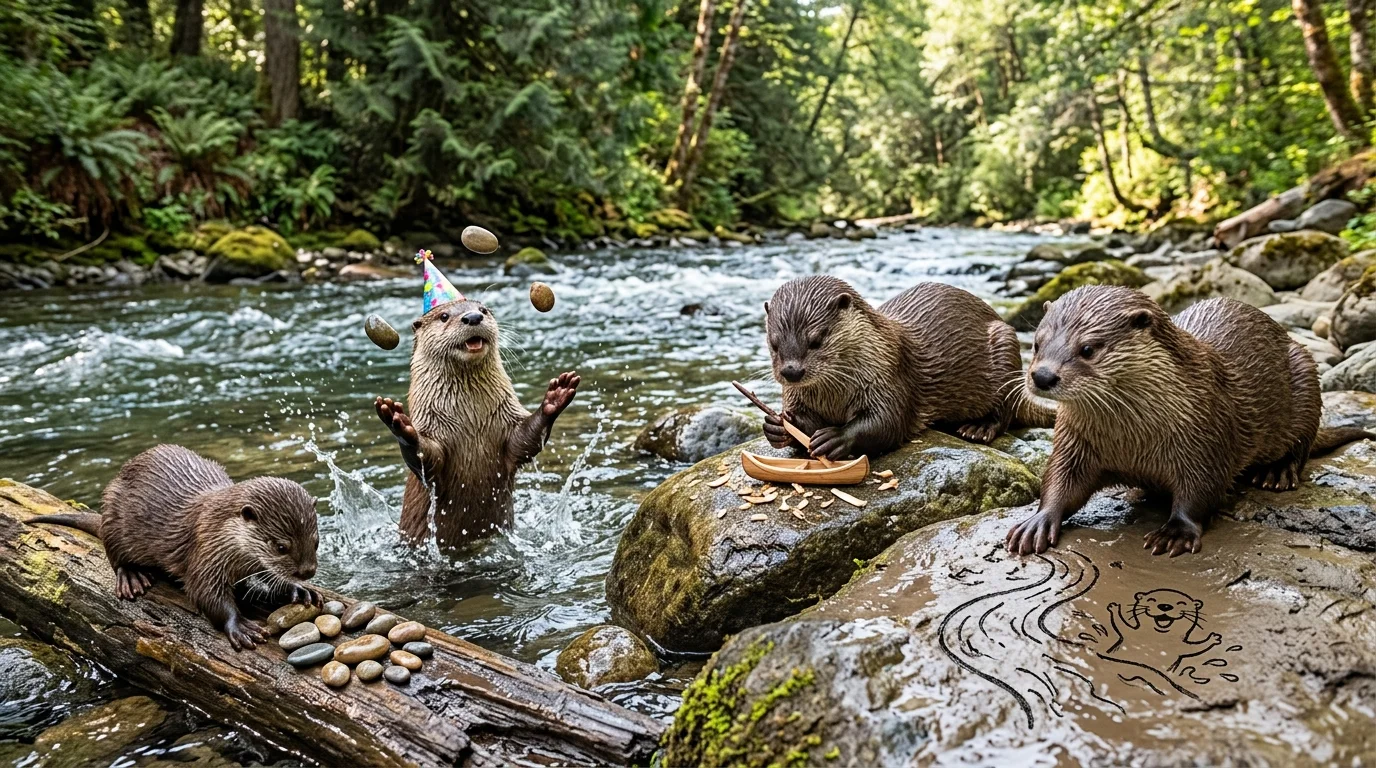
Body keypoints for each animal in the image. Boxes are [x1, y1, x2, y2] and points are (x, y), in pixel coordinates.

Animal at [28, 444, 320, 650]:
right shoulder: (206, 552)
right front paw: (239, 626)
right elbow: (205, 593)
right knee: (116, 557)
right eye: (280, 546)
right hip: (113, 515)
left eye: (316, 541)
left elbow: (270, 578)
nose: (308, 572)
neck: (224, 534)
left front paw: (298, 589)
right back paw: (131, 577)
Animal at [375, 296, 579, 548]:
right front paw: (400, 425)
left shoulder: (507, 423)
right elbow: (427, 458)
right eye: (444, 316)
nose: (473, 317)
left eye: (483, 310)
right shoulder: (432, 430)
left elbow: (524, 442)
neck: (471, 422)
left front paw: (555, 398)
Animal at [761, 276, 1051, 458]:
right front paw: (780, 425)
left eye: (816, 340)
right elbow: (802, 423)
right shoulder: (795, 394)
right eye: (774, 343)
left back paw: (978, 429)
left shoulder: (889, 376)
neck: (834, 396)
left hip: (1005, 345)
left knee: (1005, 412)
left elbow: (887, 422)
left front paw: (837, 437)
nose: (791, 371)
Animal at [1005, 286, 1375, 557]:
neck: (1134, 440)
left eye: (1087, 349)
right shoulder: (1074, 440)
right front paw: (1037, 522)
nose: (1042, 375)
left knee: (1302, 444)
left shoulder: (1206, 437)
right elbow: (1061, 480)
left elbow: (1200, 490)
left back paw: (1277, 473)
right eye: (1036, 343)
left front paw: (1175, 532)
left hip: (1305, 375)